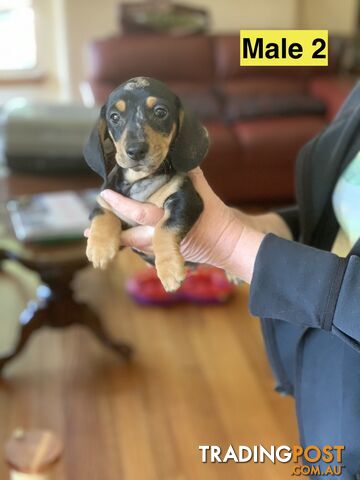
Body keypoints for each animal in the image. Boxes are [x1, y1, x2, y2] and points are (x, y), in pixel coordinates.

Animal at [83, 77, 208, 292]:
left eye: (160, 112)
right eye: (114, 117)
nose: (136, 150)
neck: (139, 180)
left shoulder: (186, 200)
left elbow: (164, 228)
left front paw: (169, 269)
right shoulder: (105, 198)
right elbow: (103, 213)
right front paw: (100, 247)